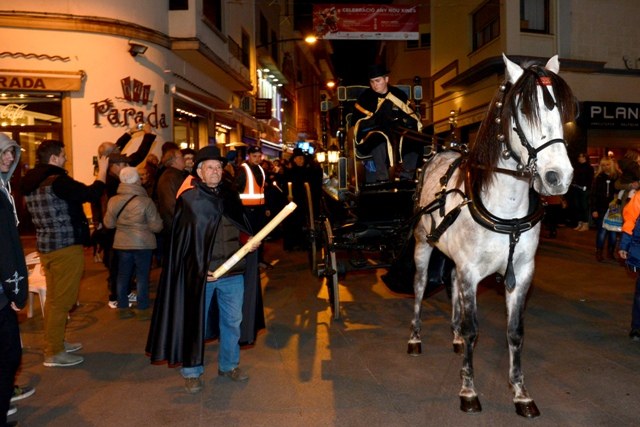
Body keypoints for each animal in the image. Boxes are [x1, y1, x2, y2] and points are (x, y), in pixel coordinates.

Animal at [410, 55, 580, 420]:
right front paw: (468, 390)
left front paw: (521, 393)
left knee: (452, 284)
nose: (558, 177)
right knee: (419, 286)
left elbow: (515, 332)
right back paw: (415, 337)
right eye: (524, 111)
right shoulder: (471, 270)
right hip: (422, 245)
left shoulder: (522, 273)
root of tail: (442, 151)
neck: (507, 208)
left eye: (561, 112)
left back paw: (454, 335)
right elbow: (474, 328)